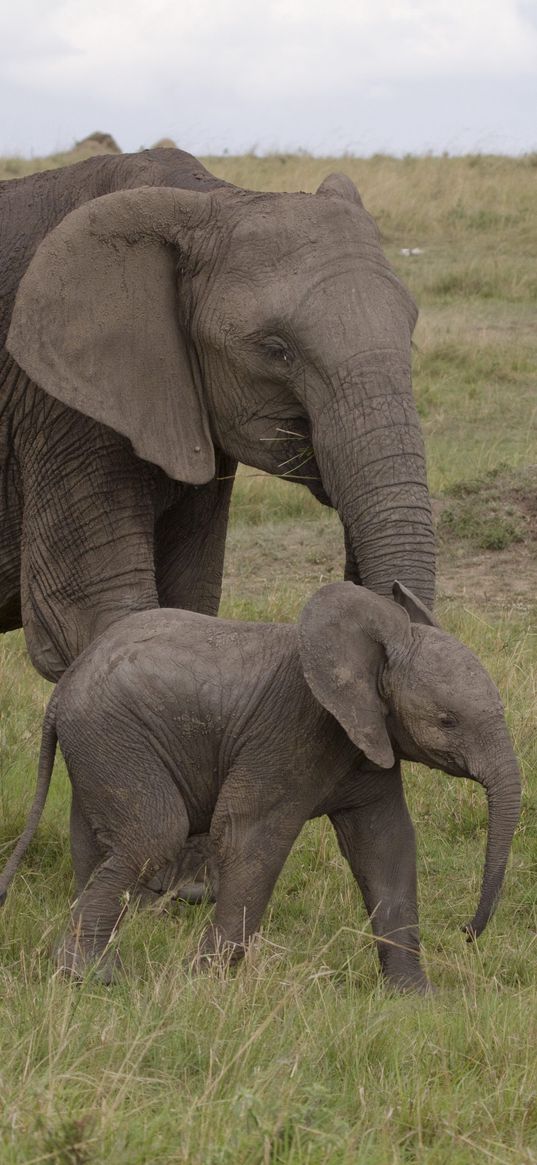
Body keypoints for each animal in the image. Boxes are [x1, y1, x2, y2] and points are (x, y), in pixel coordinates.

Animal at [0, 146, 433, 680]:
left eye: (409, 335)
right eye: (276, 351)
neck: (206, 197)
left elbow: (188, 604)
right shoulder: (58, 406)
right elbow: (95, 621)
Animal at [0, 582, 519, 992]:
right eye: (447, 721)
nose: (466, 933)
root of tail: (60, 693)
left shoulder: (369, 742)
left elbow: (385, 847)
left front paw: (415, 999)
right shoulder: (292, 731)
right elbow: (250, 839)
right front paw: (203, 985)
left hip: (100, 746)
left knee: (96, 844)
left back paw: (96, 971)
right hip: (115, 735)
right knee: (155, 833)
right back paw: (89, 977)